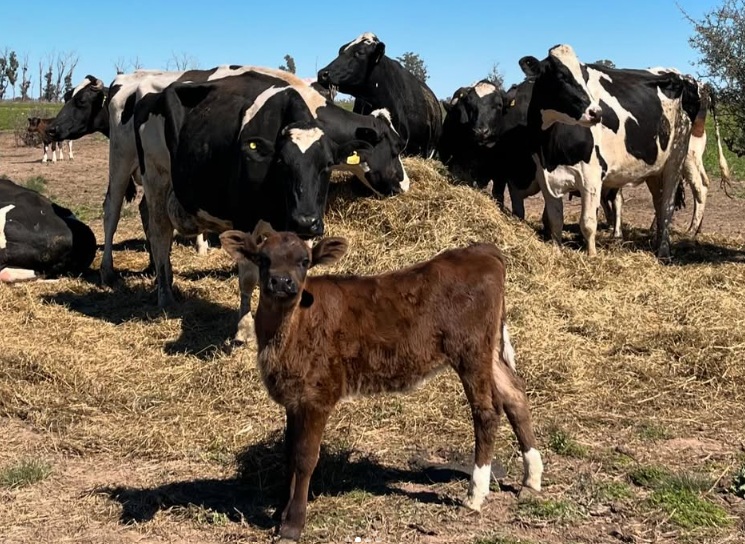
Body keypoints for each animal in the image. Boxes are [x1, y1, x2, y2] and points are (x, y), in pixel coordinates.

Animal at [136, 71, 378, 344]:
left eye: (327, 164)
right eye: (282, 163)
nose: (305, 221)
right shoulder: (245, 220)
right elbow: (248, 277)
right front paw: (244, 328)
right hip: (155, 179)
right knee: (159, 236)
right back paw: (165, 295)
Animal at [219, 222, 540, 544]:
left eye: (304, 261)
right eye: (263, 259)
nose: (282, 283)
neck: (290, 328)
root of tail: (481, 251)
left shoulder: (318, 395)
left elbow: (305, 458)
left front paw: (292, 525)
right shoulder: (293, 399)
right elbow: (289, 454)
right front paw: (279, 513)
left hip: (470, 350)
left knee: (486, 410)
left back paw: (475, 494)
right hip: (489, 350)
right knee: (515, 394)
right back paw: (531, 480)